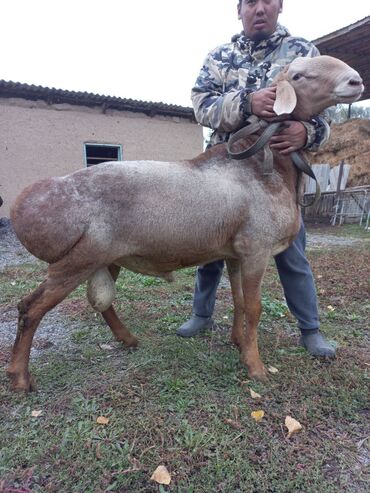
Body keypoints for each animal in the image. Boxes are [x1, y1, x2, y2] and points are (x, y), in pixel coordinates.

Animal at [7, 54, 362, 392]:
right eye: (300, 75)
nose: (355, 81)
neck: (266, 166)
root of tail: (24, 206)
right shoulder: (257, 249)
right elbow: (254, 307)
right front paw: (256, 367)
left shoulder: (235, 253)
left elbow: (238, 301)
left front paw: (238, 343)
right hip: (77, 260)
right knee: (31, 308)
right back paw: (20, 378)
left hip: (104, 259)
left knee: (92, 304)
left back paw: (128, 340)